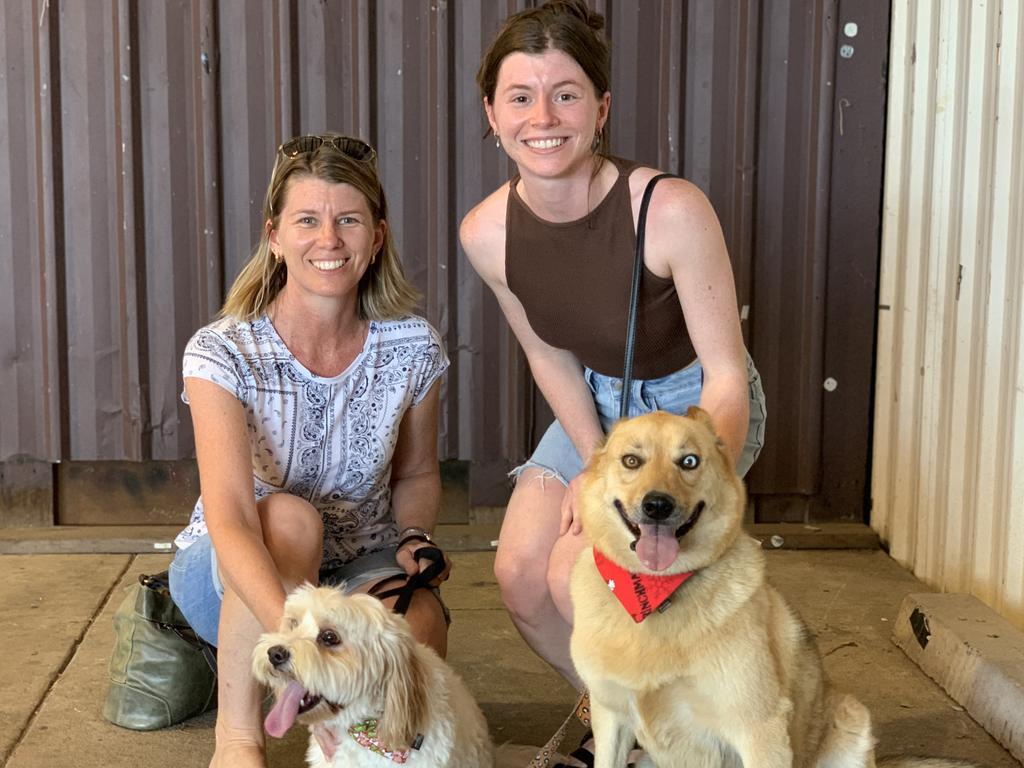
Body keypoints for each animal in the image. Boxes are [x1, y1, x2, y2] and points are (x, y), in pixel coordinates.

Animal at [569, 409, 974, 768]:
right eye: (631, 460)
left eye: (689, 461)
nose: (657, 505)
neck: (658, 596)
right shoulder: (610, 720)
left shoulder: (758, 729)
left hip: (851, 720)